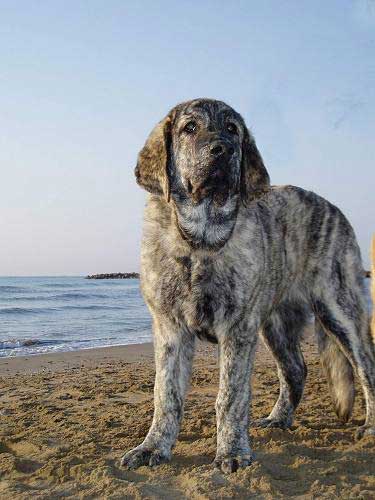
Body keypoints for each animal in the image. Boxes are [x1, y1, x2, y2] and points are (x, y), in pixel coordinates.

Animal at [121, 99, 375, 474]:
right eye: (189, 128)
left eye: (232, 129)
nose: (223, 149)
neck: (202, 240)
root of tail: (332, 207)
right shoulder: (170, 329)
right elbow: (165, 394)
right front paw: (153, 447)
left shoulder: (237, 331)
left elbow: (231, 396)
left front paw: (231, 453)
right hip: (276, 325)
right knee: (296, 370)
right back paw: (278, 419)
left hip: (339, 309)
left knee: (365, 366)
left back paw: (370, 427)